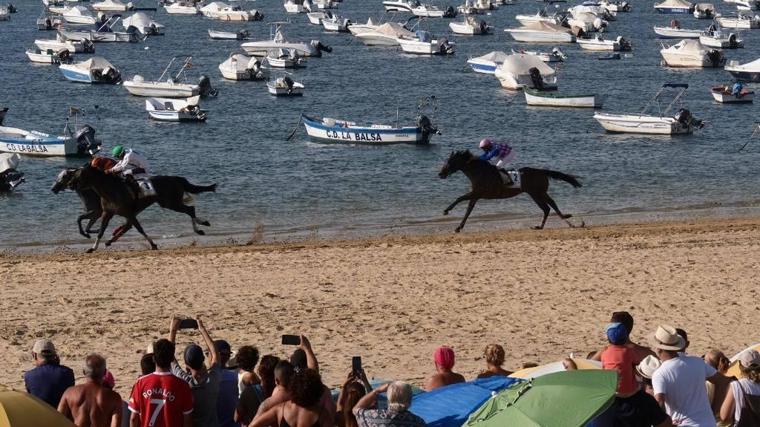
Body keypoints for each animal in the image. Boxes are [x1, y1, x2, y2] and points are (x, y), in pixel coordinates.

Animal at [52, 166, 215, 254]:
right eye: (72, 175)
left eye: (78, 175)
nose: (71, 185)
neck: (111, 190)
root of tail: (176, 178)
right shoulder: (107, 213)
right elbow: (100, 231)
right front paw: (92, 248)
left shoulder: (128, 213)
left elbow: (140, 229)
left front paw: (153, 244)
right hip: (167, 203)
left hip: (171, 203)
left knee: (190, 210)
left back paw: (200, 228)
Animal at [440, 150, 580, 232]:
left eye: (450, 161)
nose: (440, 174)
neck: (479, 172)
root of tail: (541, 171)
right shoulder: (476, 195)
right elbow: (468, 210)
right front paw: (459, 227)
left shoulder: (478, 192)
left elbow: (460, 198)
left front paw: (446, 210)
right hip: (539, 193)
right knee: (550, 205)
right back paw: (560, 222)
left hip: (536, 193)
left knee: (547, 207)